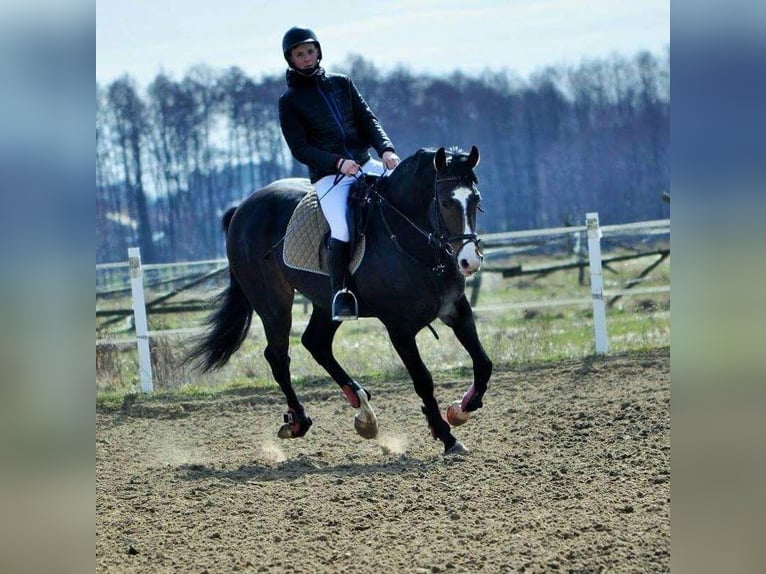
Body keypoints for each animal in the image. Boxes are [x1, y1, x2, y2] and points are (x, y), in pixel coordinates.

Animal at [189, 146, 496, 456]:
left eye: (476, 200)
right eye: (445, 202)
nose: (469, 261)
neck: (411, 242)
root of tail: (242, 208)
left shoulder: (456, 309)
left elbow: (484, 364)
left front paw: (460, 410)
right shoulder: (399, 328)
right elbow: (423, 380)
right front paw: (447, 437)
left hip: (327, 304)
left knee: (316, 343)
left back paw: (363, 410)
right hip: (273, 303)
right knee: (278, 356)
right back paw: (298, 421)